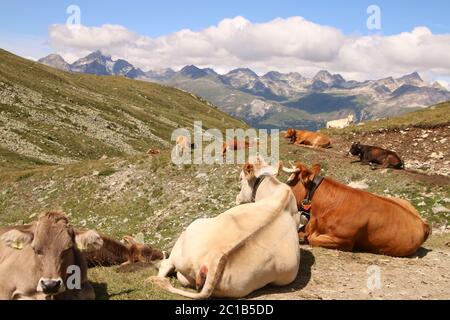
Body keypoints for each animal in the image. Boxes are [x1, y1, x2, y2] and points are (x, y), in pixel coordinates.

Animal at [149, 158, 300, 300]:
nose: (237, 198)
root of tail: (215, 259)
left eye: (240, 178)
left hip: (190, 231)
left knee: (167, 265)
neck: (280, 193)